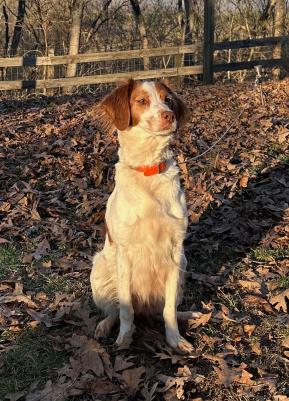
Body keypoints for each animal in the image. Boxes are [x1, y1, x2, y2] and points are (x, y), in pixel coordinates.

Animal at [90, 79, 198, 354]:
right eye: (141, 101)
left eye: (167, 99)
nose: (169, 115)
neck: (148, 170)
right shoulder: (126, 253)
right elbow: (125, 309)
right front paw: (125, 340)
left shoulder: (175, 251)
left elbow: (169, 310)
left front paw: (175, 339)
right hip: (99, 270)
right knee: (114, 310)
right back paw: (104, 326)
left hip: (183, 266)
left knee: (164, 310)